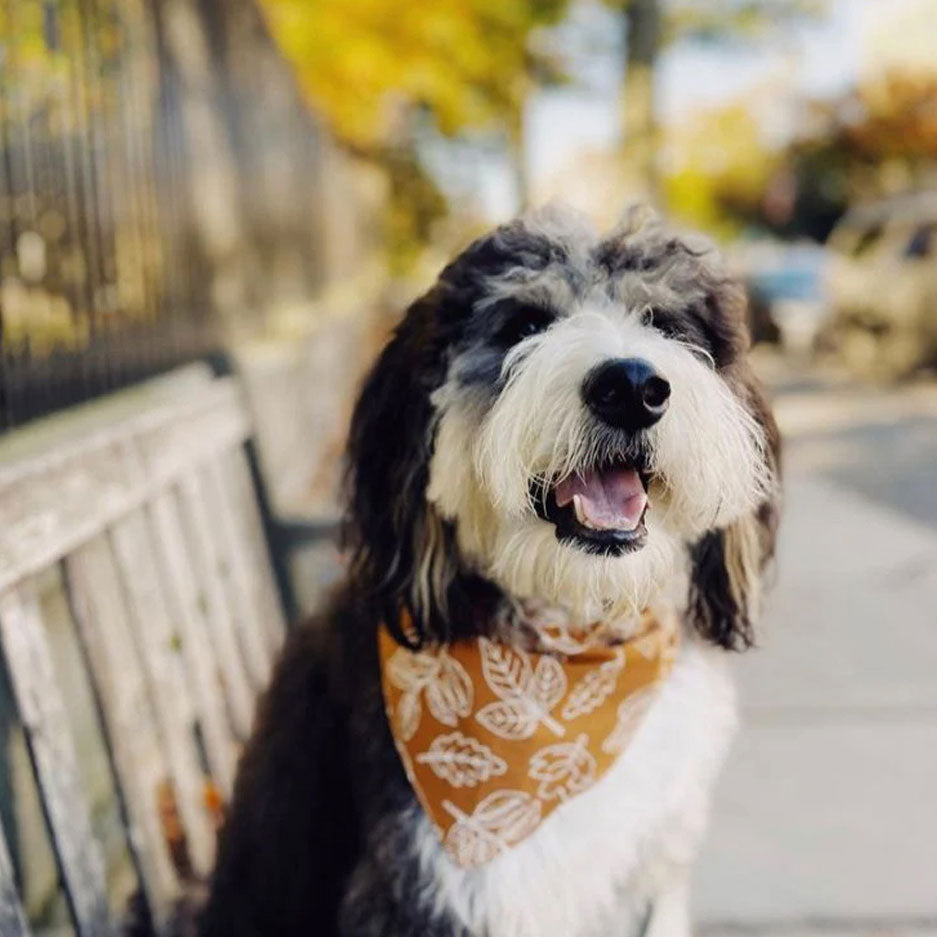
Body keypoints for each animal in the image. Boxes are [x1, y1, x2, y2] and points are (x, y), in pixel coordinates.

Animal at [201, 207, 780, 936]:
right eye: (523, 324)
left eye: (665, 322)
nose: (631, 387)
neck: (571, 645)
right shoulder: (430, 890)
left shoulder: (654, 866)